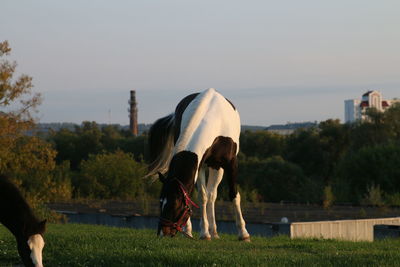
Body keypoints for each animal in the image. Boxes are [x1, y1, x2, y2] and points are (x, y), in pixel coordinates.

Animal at [148, 89, 250, 242]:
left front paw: (243, 233)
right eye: (160, 202)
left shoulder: (231, 163)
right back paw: (194, 231)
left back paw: (215, 232)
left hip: (217, 167)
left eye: (175, 204)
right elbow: (202, 196)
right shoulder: (200, 165)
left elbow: (233, 195)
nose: (162, 233)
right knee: (209, 195)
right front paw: (204, 233)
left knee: (213, 194)